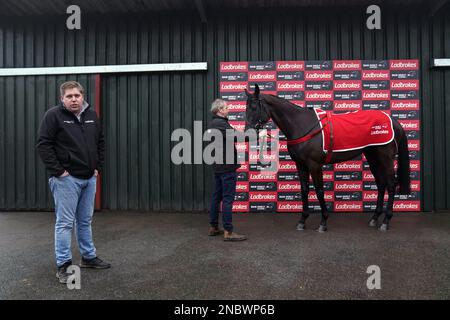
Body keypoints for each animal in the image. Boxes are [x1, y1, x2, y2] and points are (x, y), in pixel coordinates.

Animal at [244, 84, 410, 231]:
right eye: (246, 108)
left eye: (254, 107)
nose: (246, 135)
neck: (302, 125)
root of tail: (393, 121)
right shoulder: (301, 164)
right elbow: (304, 189)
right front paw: (302, 221)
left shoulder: (314, 165)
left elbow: (319, 190)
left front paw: (323, 222)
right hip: (373, 157)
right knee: (381, 184)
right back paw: (375, 218)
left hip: (386, 158)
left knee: (390, 184)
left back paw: (386, 221)